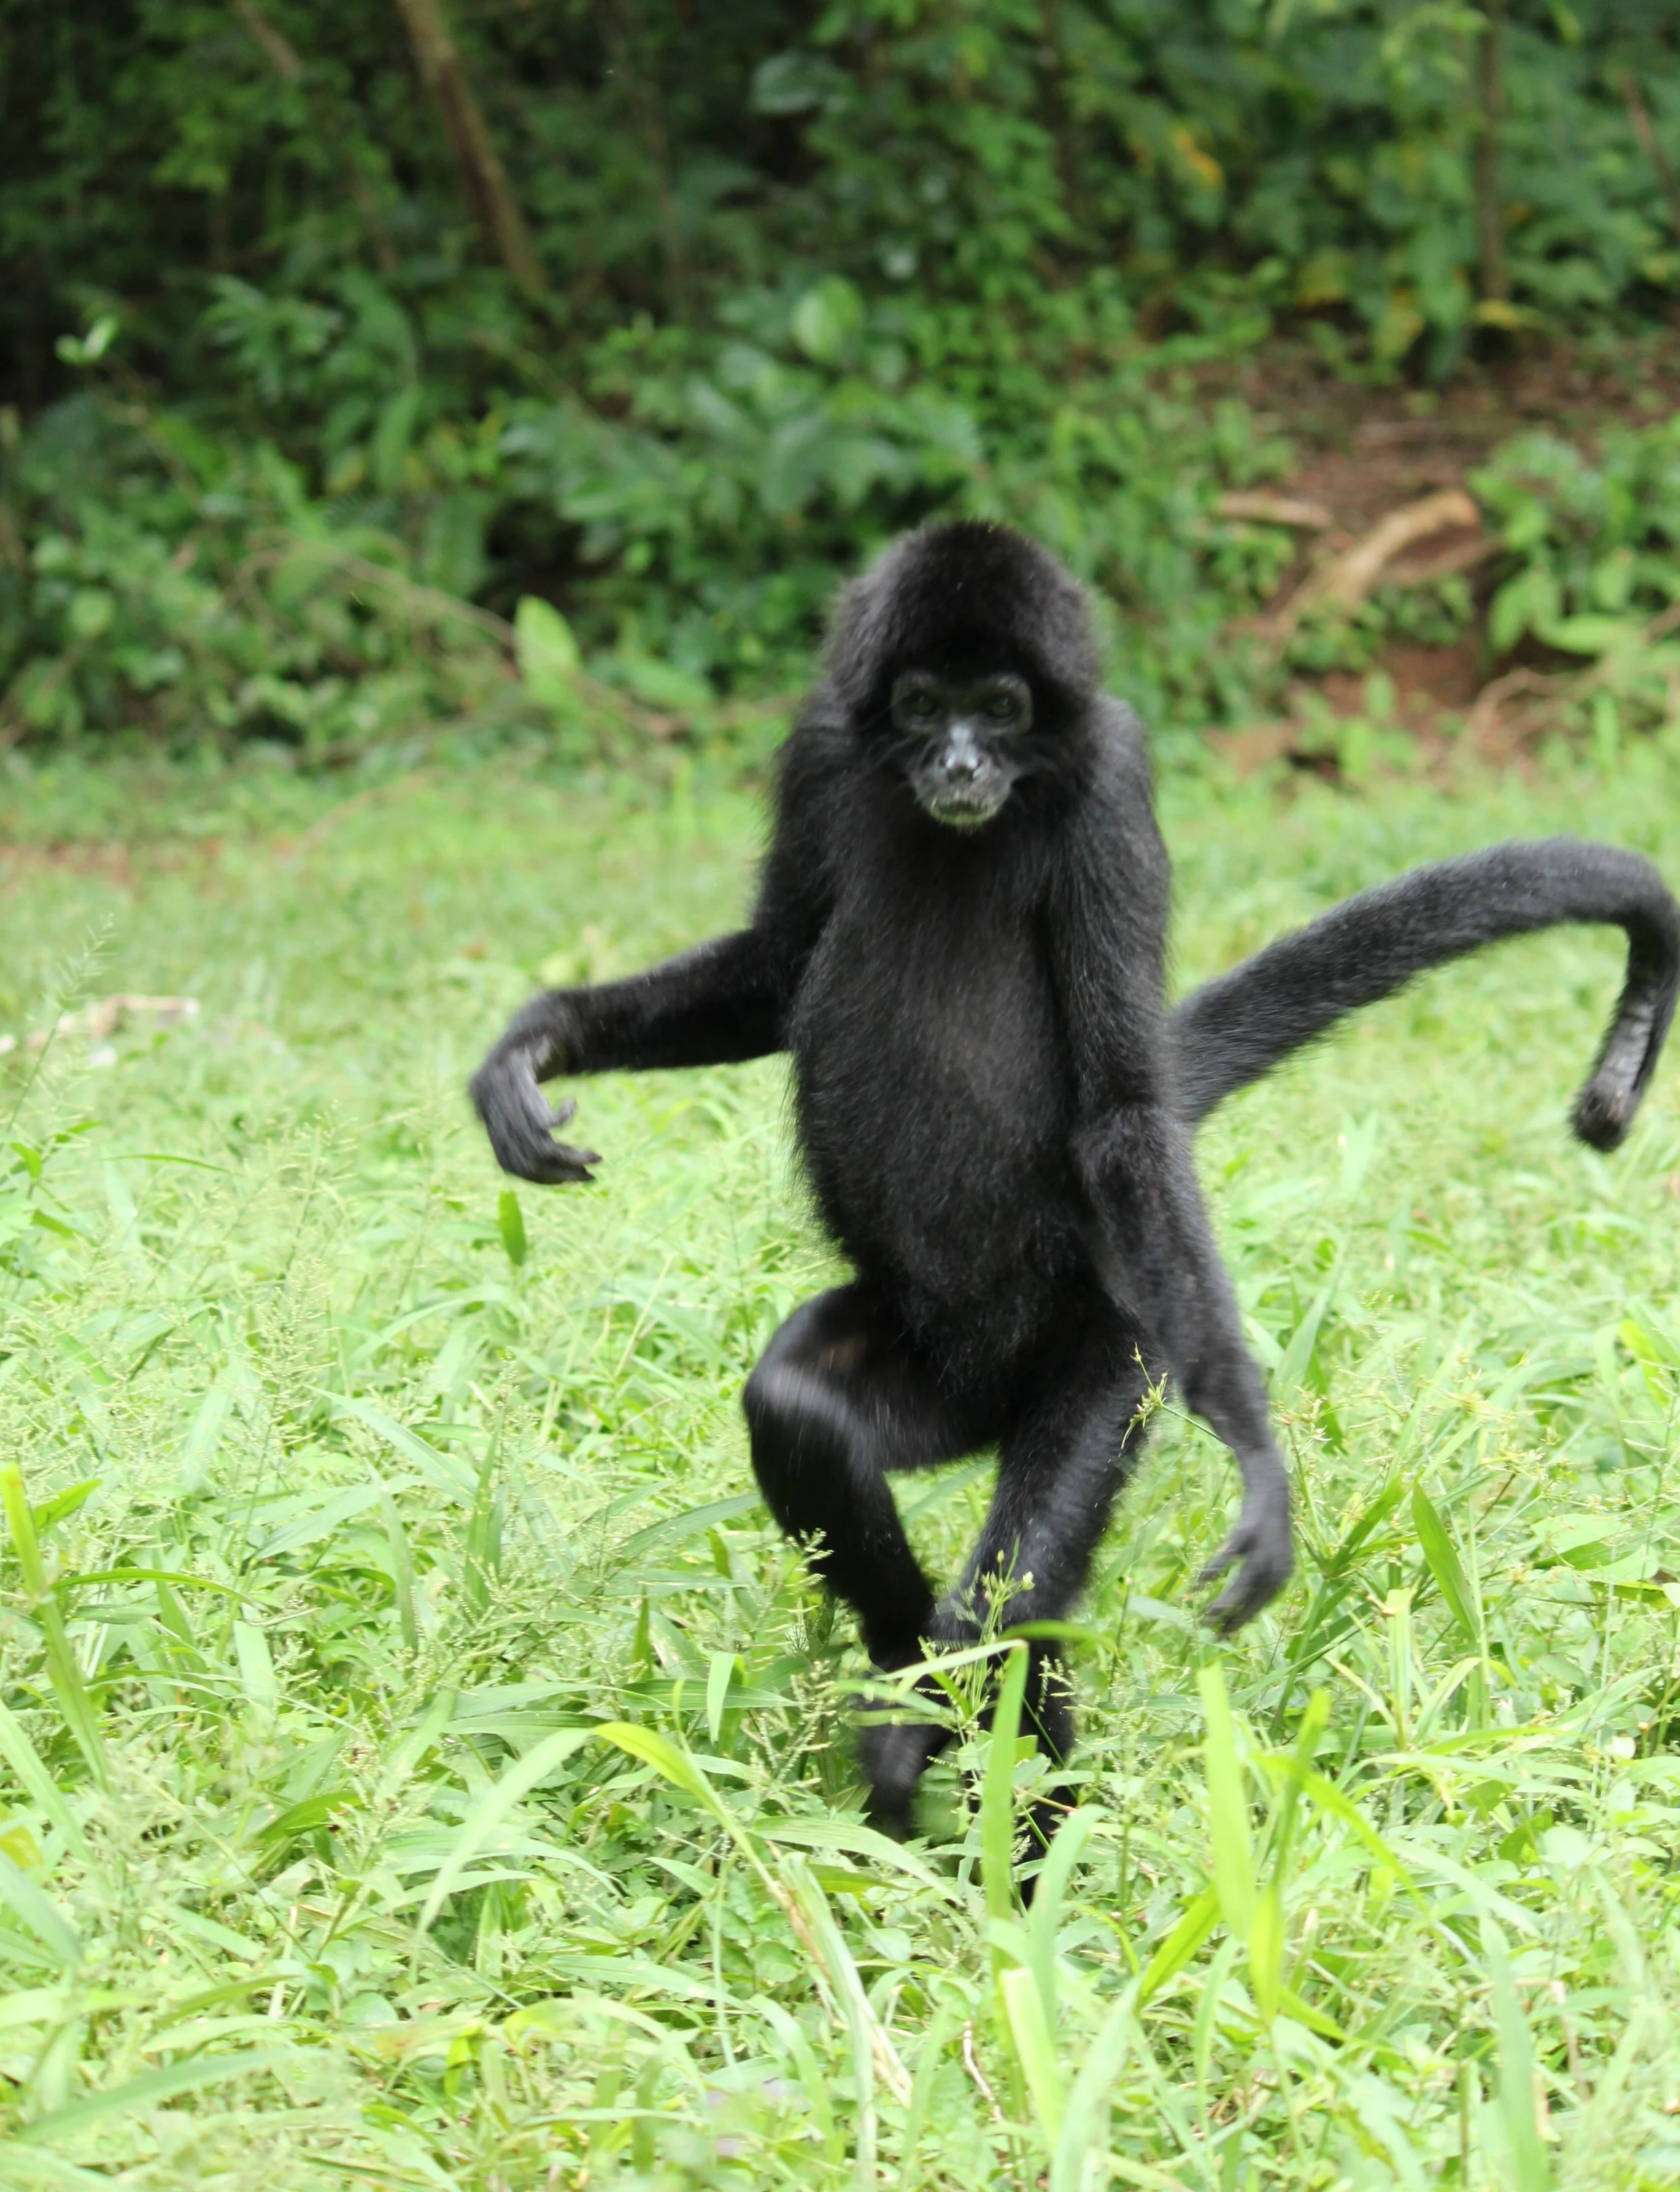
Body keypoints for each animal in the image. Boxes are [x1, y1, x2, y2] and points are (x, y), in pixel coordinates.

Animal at [472, 521, 1679, 1828]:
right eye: (924, 704)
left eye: (1001, 708)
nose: (959, 761)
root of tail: (983, 1371)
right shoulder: (821, 748)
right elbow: (777, 963)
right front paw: (539, 1041)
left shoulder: (1110, 782)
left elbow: (1120, 1109)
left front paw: (1252, 1448)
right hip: (933, 1372)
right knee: (803, 1411)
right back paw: (914, 1709)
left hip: (1116, 1330)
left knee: (1021, 1579)